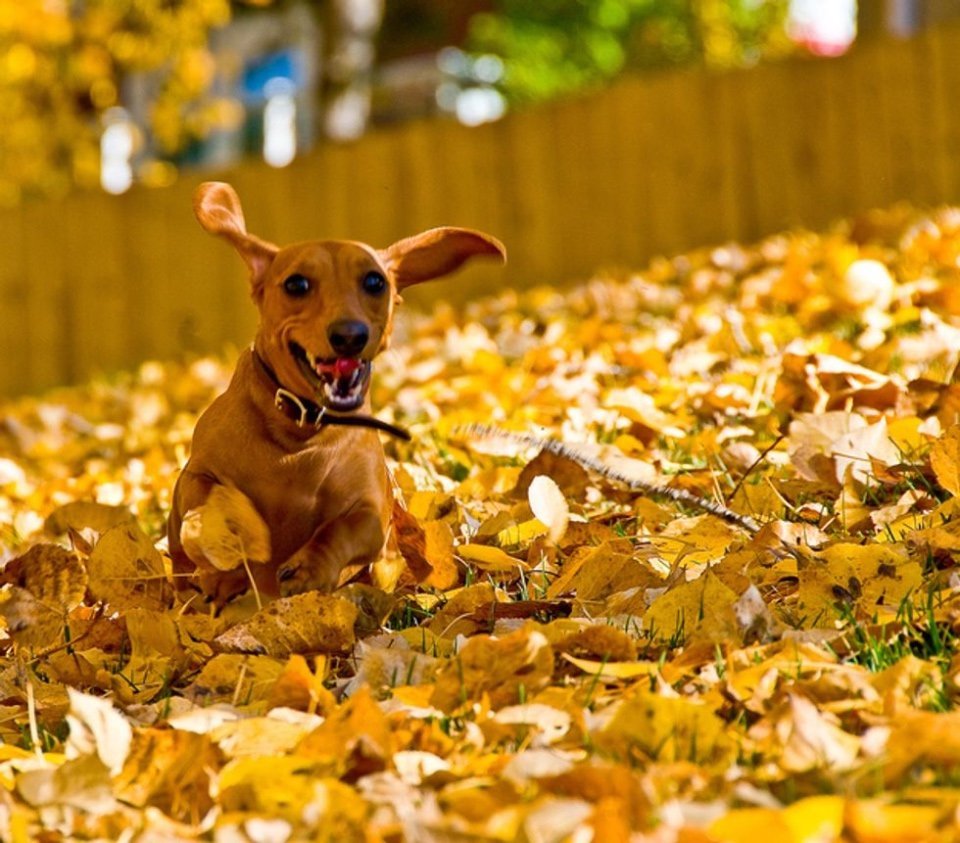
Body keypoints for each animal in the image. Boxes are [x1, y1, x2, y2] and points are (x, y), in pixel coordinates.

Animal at [168, 183, 506, 608]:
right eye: (296, 284)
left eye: (375, 282)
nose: (349, 335)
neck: (299, 433)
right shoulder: (196, 476)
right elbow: (213, 500)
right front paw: (232, 550)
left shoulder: (370, 510)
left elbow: (341, 529)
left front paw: (308, 568)